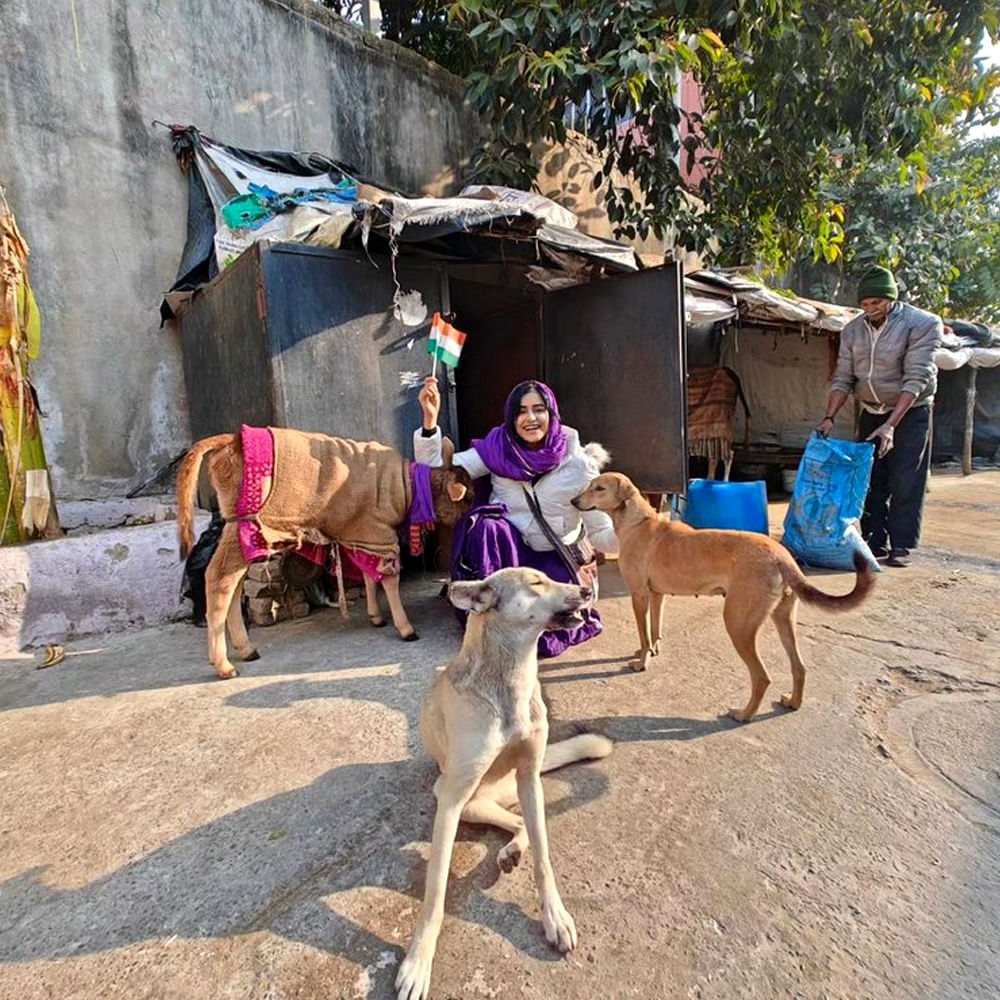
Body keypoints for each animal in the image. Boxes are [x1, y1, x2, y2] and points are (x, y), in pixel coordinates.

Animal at [396, 572, 612, 1000]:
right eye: (537, 581)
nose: (586, 588)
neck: (511, 682)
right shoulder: (451, 802)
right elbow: (435, 894)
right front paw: (418, 961)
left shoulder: (529, 776)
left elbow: (544, 860)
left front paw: (554, 916)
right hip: (461, 797)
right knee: (512, 821)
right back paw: (509, 851)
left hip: (523, 792)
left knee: (523, 824)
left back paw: (512, 853)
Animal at [572, 472, 876, 724]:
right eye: (589, 486)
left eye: (598, 488)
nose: (574, 501)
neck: (637, 522)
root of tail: (781, 555)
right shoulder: (657, 594)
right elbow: (654, 630)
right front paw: (651, 651)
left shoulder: (639, 595)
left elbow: (644, 634)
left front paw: (641, 662)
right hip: (783, 619)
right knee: (799, 667)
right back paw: (792, 702)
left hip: (737, 624)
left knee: (762, 677)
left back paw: (744, 714)